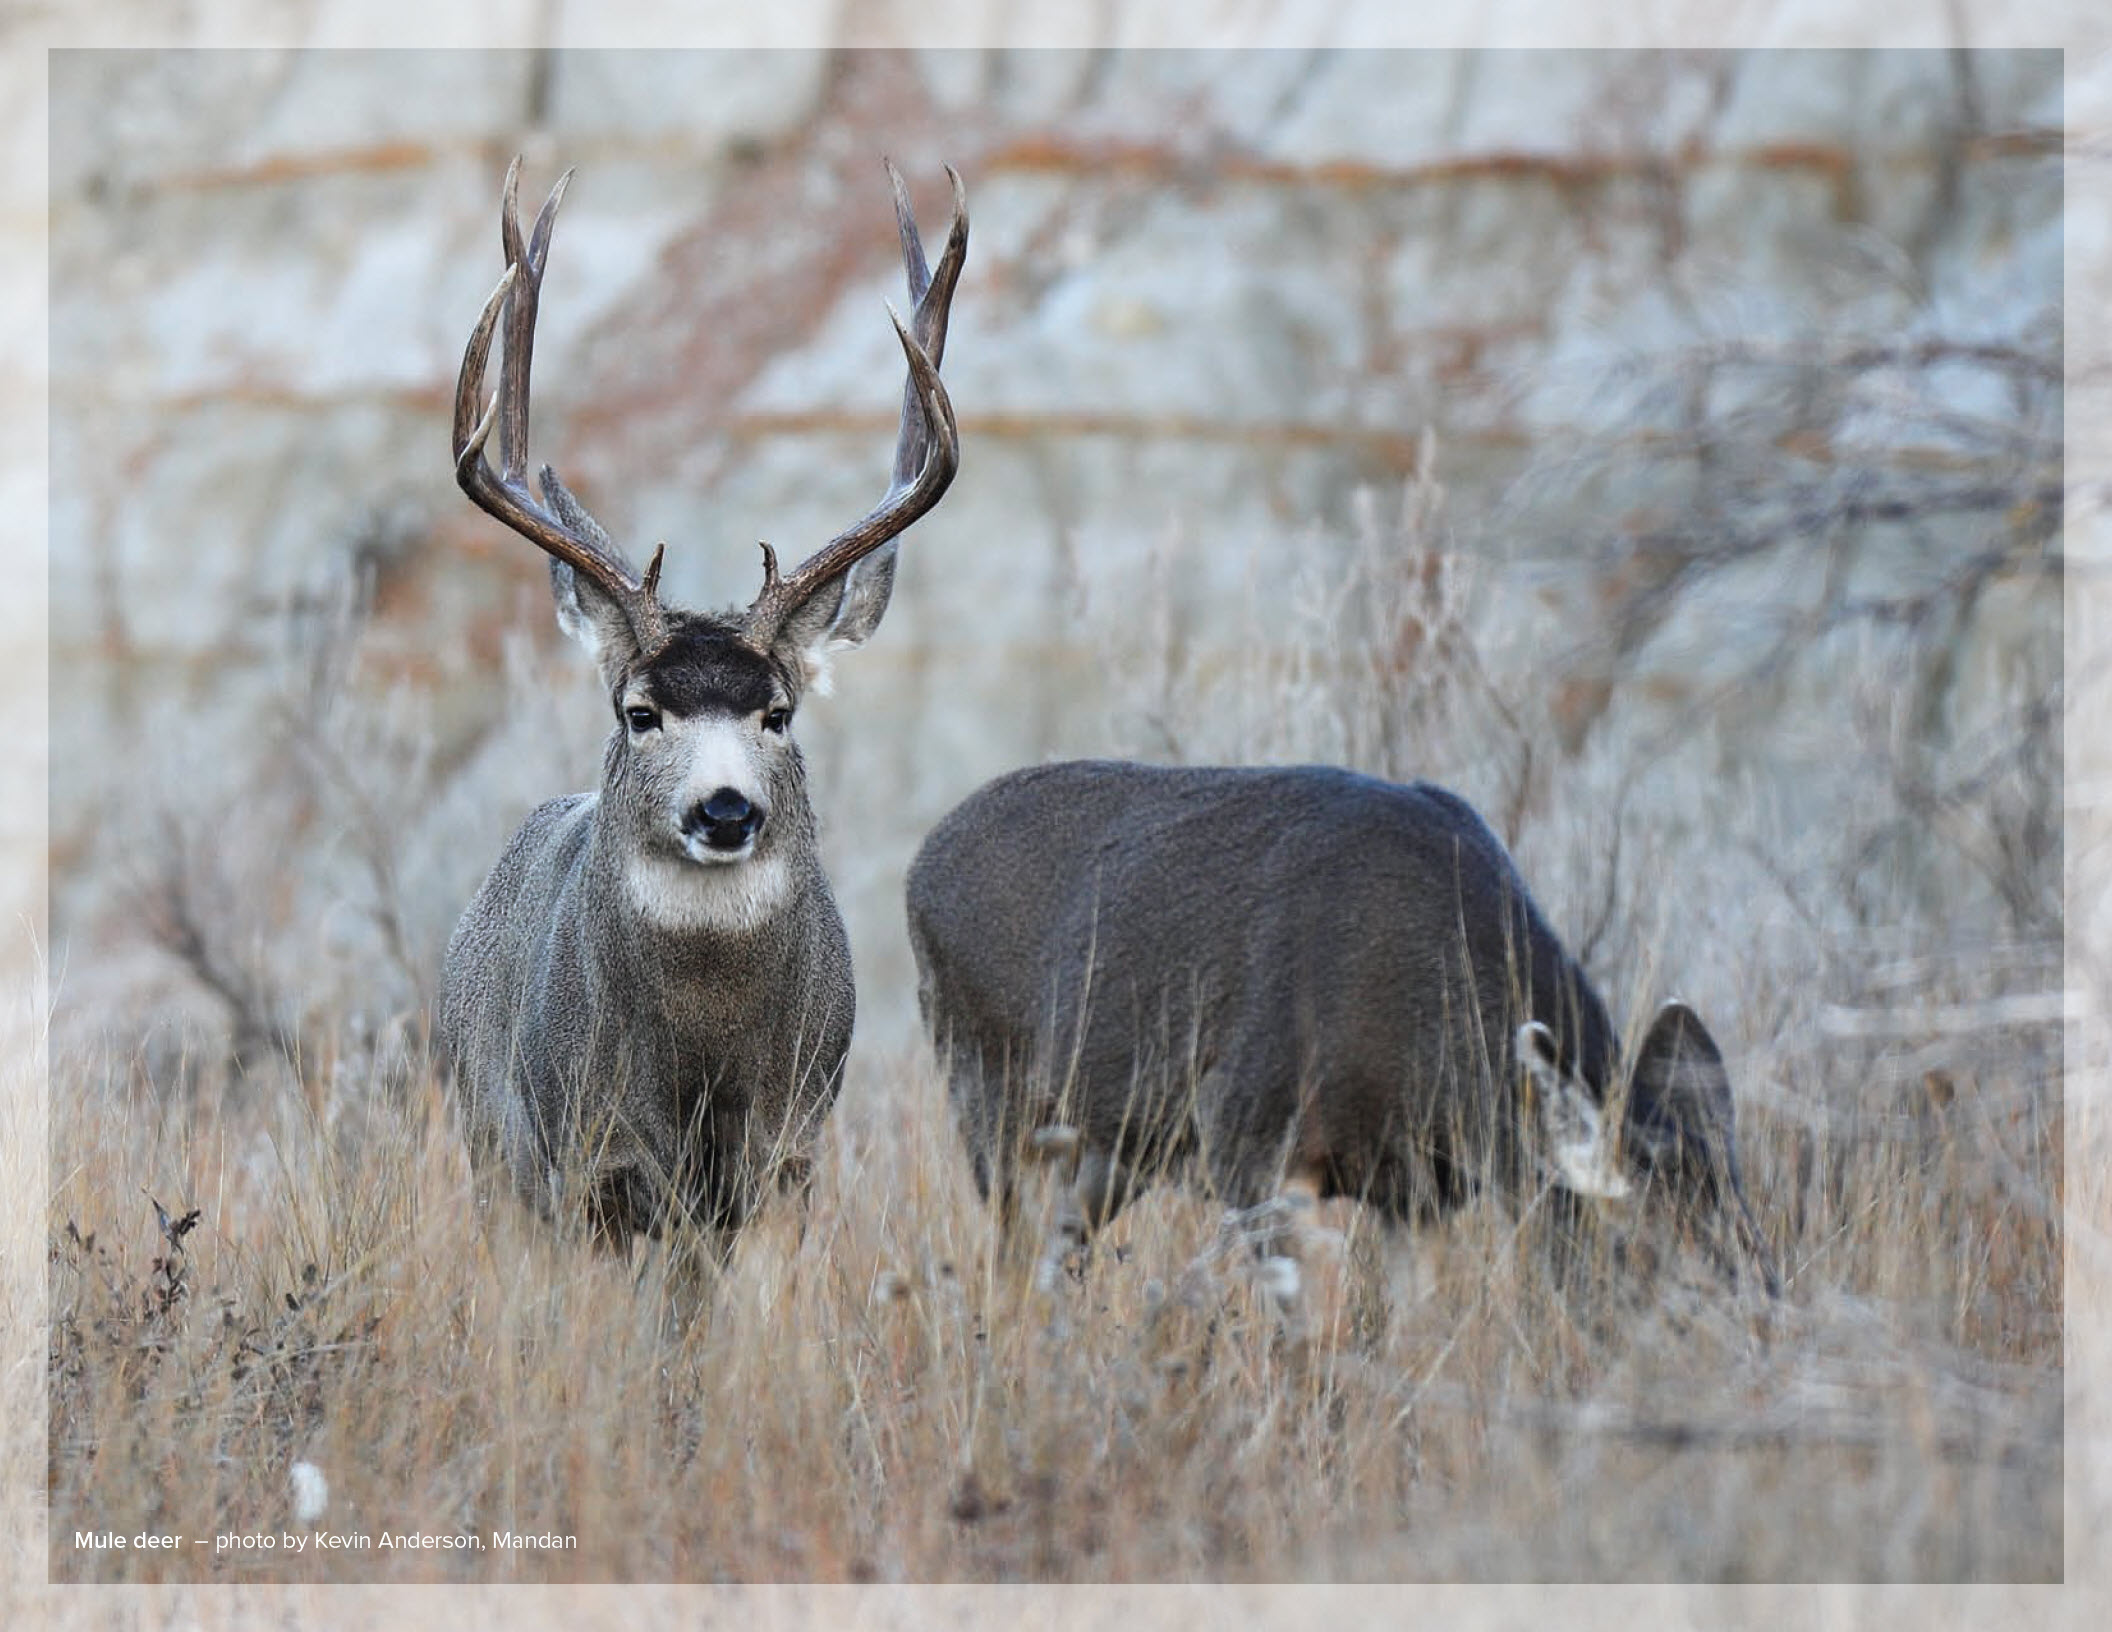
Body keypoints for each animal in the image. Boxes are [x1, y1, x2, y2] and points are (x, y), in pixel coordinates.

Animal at [447, 162, 971, 1249]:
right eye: (639, 711)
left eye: (777, 712)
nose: (724, 809)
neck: (700, 1061)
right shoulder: (587, 1157)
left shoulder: (791, 1146)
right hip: (491, 1145)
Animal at [899, 755, 1774, 1334]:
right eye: (1635, 1244)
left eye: (1755, 1234)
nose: (1758, 1326)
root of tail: (919, 866)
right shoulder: (1245, 1133)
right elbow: (1305, 1339)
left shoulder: (1418, 1191)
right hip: (987, 1088)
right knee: (1011, 1259)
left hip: (1119, 1148)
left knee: (1058, 1256)